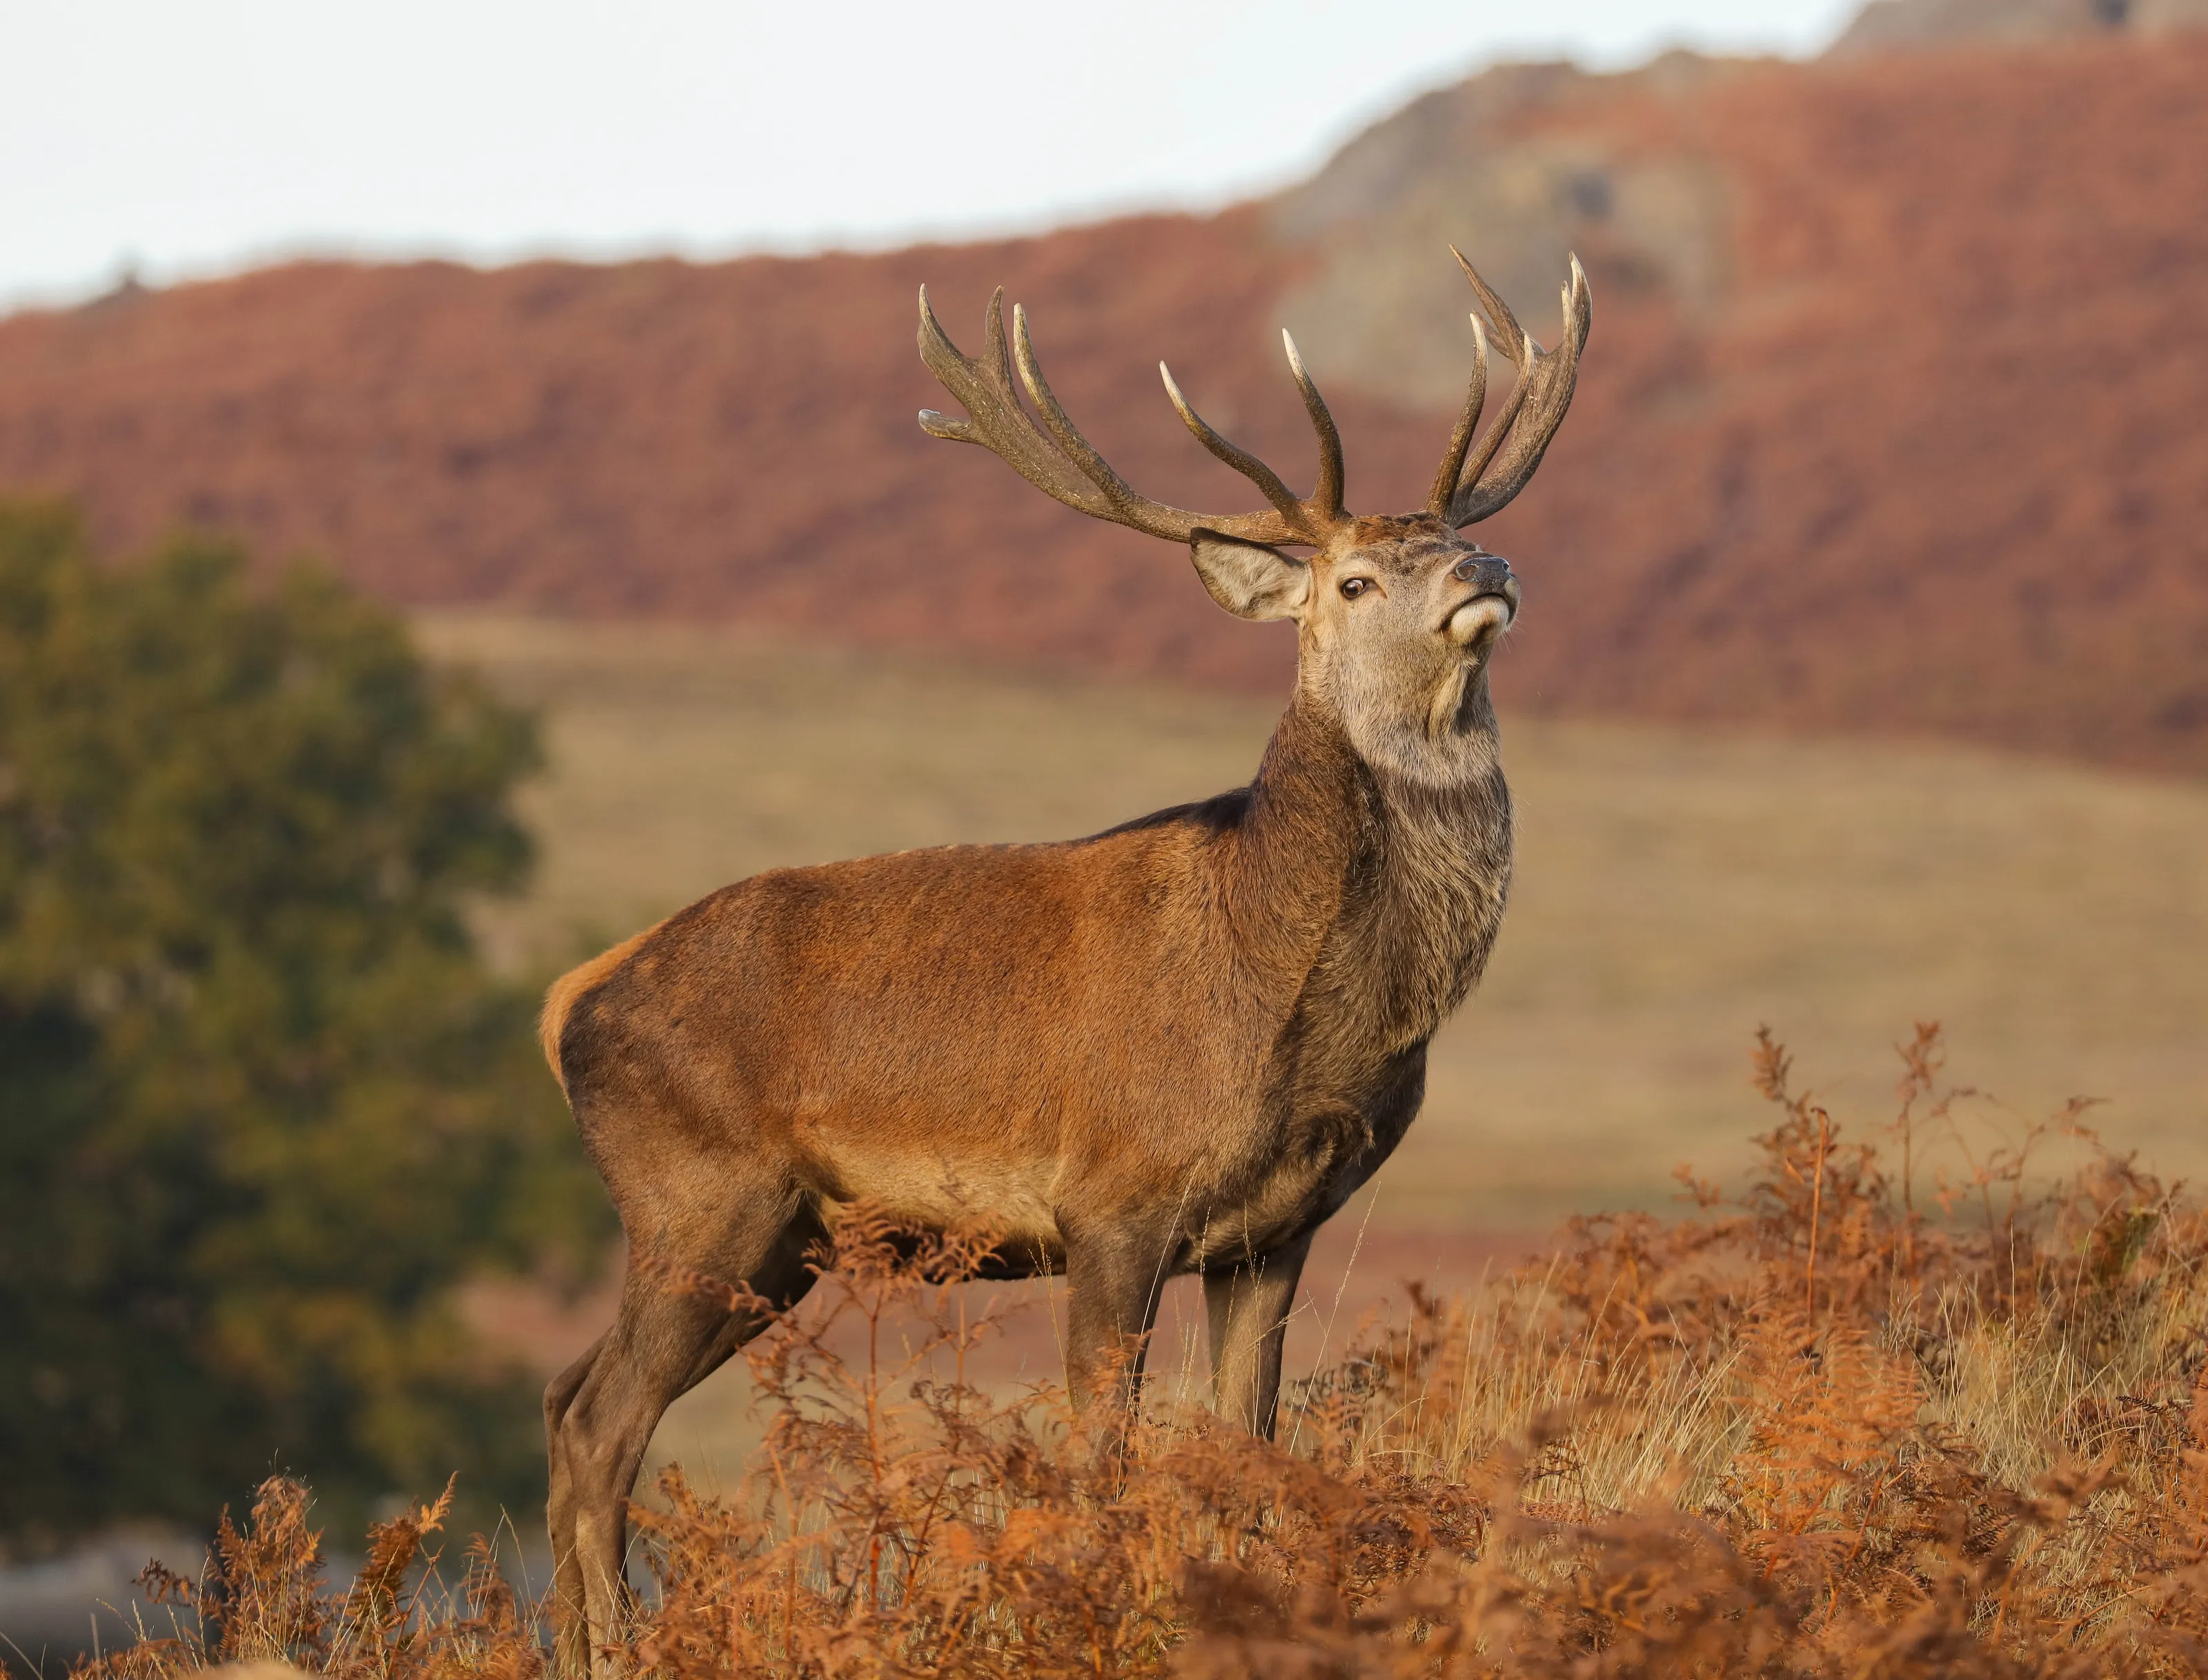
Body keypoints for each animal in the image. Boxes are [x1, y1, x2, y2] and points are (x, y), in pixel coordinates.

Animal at [538, 247, 1589, 1674]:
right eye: (1357, 581)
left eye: (1443, 539)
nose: (1485, 561)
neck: (1297, 1000)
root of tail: (570, 1003)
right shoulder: (1112, 1199)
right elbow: (1105, 1457)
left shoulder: (1277, 1231)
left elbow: (1249, 1451)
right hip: (702, 1196)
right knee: (601, 1426)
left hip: (777, 1246)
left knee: (562, 1396)